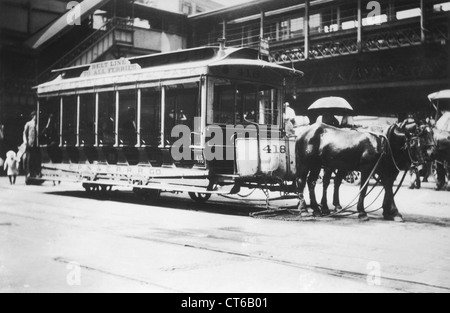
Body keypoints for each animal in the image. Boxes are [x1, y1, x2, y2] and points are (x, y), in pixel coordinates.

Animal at [294, 120, 434, 221]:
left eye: (427, 140)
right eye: (414, 143)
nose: (429, 157)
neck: (383, 143)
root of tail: (303, 132)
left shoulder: (386, 171)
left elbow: (388, 188)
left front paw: (391, 212)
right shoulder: (367, 169)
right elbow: (364, 189)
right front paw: (362, 212)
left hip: (317, 165)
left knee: (312, 182)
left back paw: (317, 209)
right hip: (307, 163)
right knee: (303, 181)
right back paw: (305, 210)